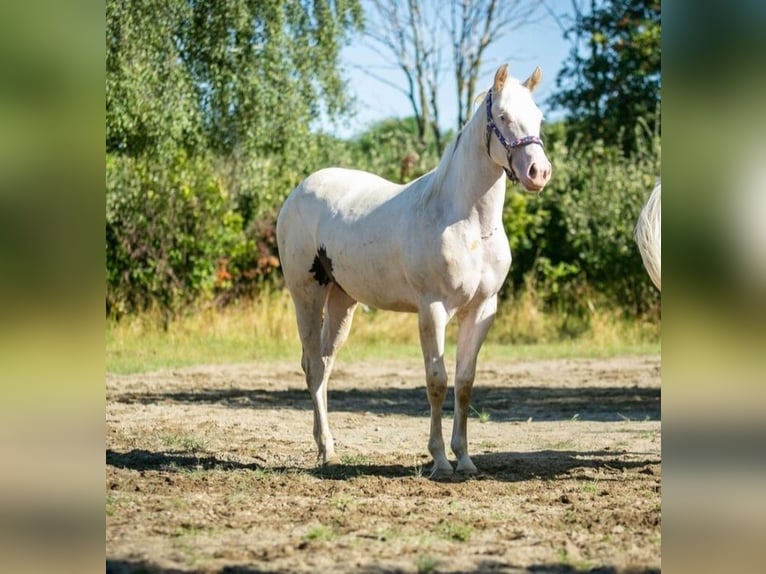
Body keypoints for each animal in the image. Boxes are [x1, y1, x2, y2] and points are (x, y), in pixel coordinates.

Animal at [276, 65, 552, 478]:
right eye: (503, 117)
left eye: (539, 117)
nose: (539, 172)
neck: (467, 222)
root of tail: (297, 193)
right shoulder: (432, 309)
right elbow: (436, 381)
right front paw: (439, 460)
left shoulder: (482, 310)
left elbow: (465, 383)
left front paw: (465, 459)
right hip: (307, 295)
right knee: (312, 366)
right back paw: (327, 451)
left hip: (342, 302)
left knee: (324, 366)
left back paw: (327, 448)